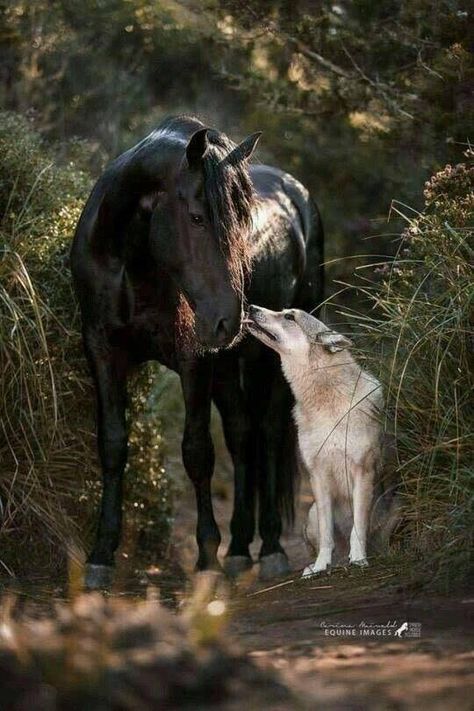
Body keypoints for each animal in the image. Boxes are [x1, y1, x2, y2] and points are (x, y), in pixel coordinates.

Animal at [71, 114, 322, 588]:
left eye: (243, 222)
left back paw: (270, 547)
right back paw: (240, 547)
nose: (231, 320)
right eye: (197, 217)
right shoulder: (102, 351)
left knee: (267, 432)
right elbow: (112, 445)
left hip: (263, 358)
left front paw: (207, 557)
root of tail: (298, 192)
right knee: (242, 433)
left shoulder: (194, 361)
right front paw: (101, 555)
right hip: (226, 365)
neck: (132, 261)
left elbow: (197, 451)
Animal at [244, 306, 392, 580]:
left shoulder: (362, 471)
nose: (251, 308)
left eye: (289, 316)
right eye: (282, 311)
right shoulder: (318, 476)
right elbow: (326, 536)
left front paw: (359, 559)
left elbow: (358, 527)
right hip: (312, 512)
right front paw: (321, 566)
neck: (325, 404)